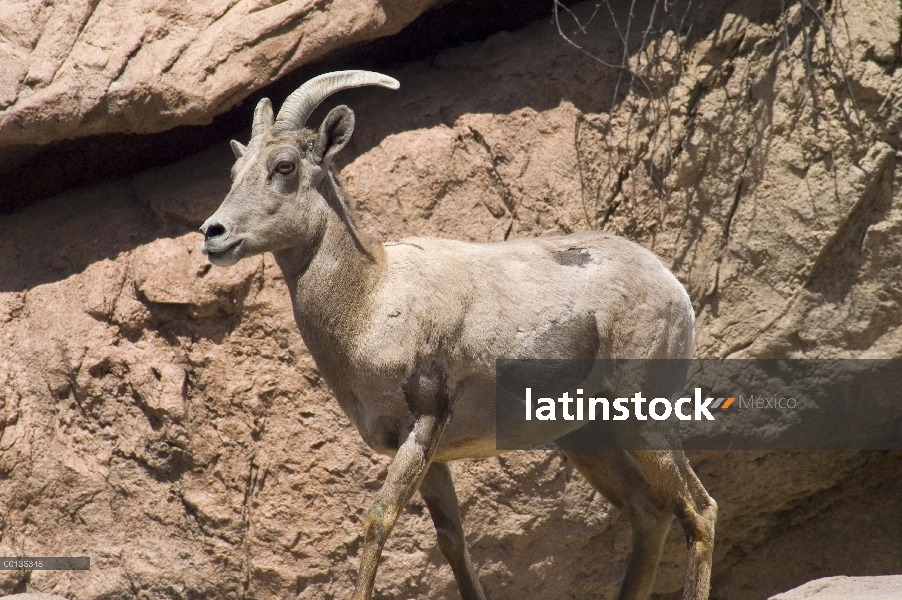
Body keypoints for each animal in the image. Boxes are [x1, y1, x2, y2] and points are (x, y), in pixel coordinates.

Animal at [201, 71, 716, 600]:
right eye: (236, 168)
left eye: (284, 166)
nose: (213, 234)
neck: (372, 298)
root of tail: (671, 286)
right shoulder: (432, 458)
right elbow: (452, 542)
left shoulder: (425, 421)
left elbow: (378, 521)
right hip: (588, 437)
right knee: (648, 512)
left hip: (644, 418)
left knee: (698, 510)